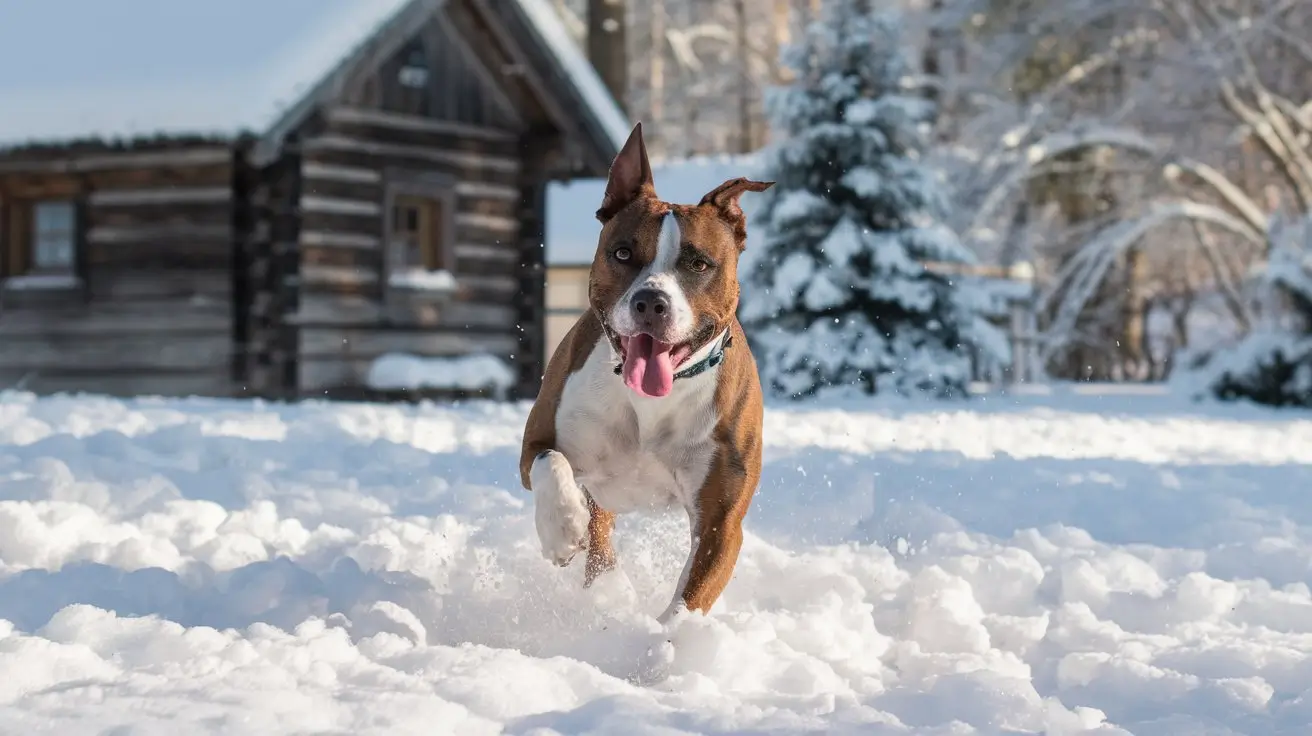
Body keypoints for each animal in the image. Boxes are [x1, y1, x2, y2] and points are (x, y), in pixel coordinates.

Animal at [519, 123, 771, 621]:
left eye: (698, 263)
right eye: (622, 253)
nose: (651, 301)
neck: (650, 401)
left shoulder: (721, 521)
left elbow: (688, 604)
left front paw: (661, 642)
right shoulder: (536, 439)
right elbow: (548, 461)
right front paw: (562, 528)